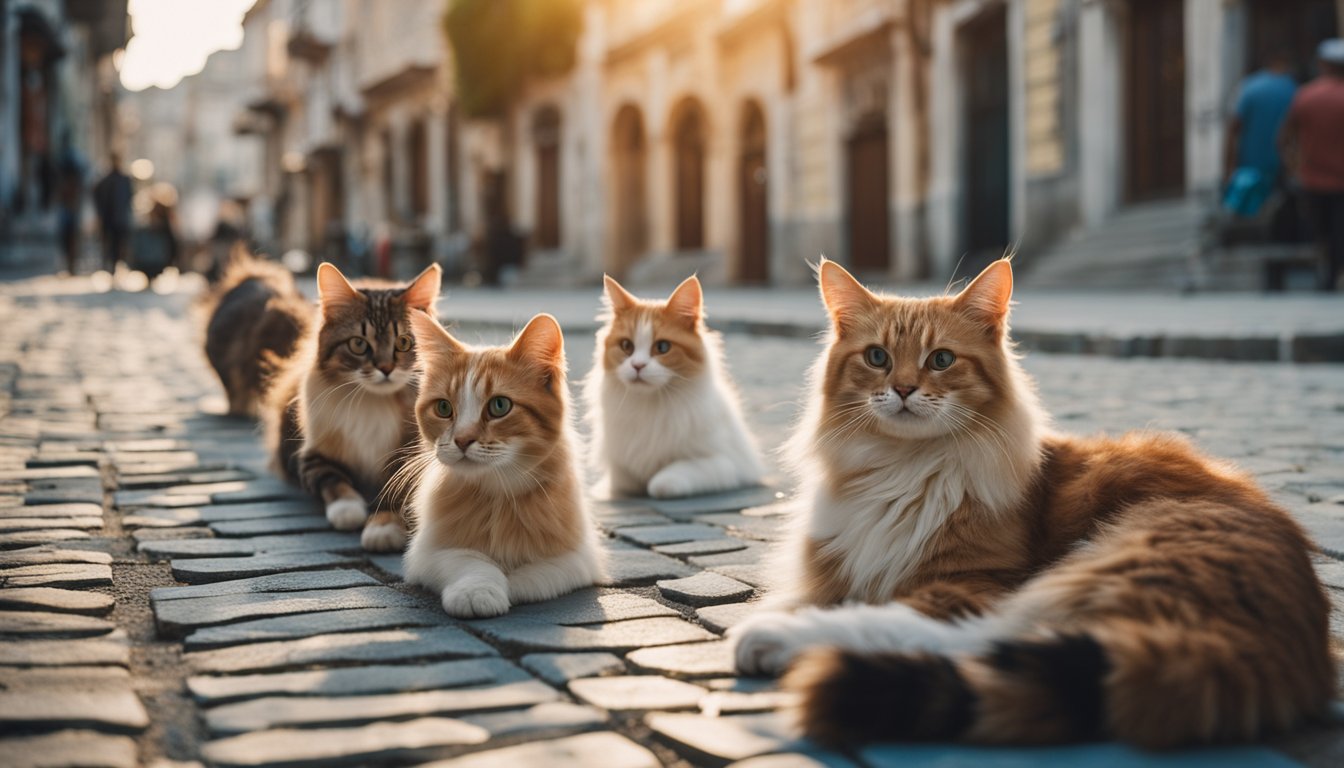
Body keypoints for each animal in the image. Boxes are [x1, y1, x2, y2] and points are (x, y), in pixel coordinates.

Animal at [266, 264, 440, 554]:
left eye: (404, 342)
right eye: (359, 344)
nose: (386, 369)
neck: (374, 402)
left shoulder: (411, 458)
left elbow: (394, 491)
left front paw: (382, 527)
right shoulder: (311, 455)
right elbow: (333, 481)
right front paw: (349, 511)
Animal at [400, 312, 607, 618]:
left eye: (499, 406)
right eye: (444, 408)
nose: (462, 440)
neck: (500, 493)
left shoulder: (579, 557)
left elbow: (539, 574)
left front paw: (512, 583)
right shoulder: (427, 553)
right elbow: (470, 562)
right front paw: (479, 589)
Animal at [583, 277, 763, 497]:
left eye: (662, 347)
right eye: (626, 346)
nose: (637, 366)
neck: (650, 405)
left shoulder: (726, 464)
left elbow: (663, 480)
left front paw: (657, 482)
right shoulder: (619, 471)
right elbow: (625, 480)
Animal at [731, 260, 1327, 747]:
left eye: (941, 360)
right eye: (877, 358)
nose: (901, 390)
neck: (901, 467)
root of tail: (1293, 643)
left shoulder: (976, 580)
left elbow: (876, 609)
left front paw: (777, 623)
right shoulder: (830, 570)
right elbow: (809, 593)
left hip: (1106, 559)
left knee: (969, 639)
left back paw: (770, 640)